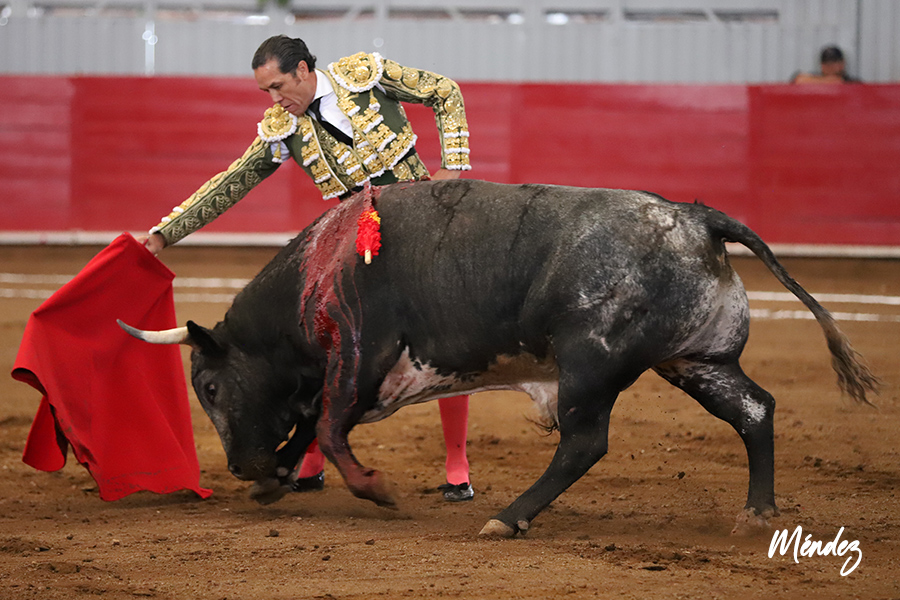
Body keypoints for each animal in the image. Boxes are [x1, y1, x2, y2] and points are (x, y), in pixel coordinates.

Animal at [120, 179, 878, 537]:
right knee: (755, 410)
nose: (238, 466)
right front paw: (276, 482)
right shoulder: (344, 374)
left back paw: (508, 517)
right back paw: (756, 516)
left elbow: (330, 430)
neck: (323, 266)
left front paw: (375, 490)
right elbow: (311, 425)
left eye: (209, 386)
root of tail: (698, 217)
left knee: (585, 442)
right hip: (696, 359)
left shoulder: (361, 354)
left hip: (589, 364)